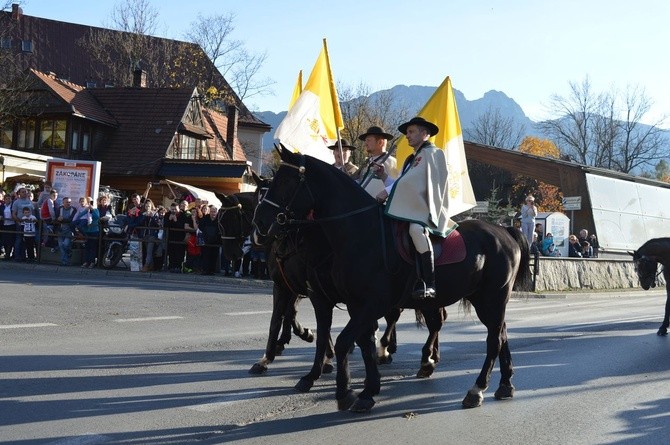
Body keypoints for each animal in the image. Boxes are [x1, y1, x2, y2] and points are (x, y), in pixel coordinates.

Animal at [253, 147, 536, 412]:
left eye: (286, 181)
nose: (260, 224)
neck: (359, 233)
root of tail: (504, 230)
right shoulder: (348, 303)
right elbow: (354, 341)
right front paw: (366, 389)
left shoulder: (370, 303)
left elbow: (343, 340)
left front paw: (345, 391)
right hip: (483, 300)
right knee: (499, 333)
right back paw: (504, 384)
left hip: (492, 298)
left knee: (492, 339)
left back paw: (475, 388)